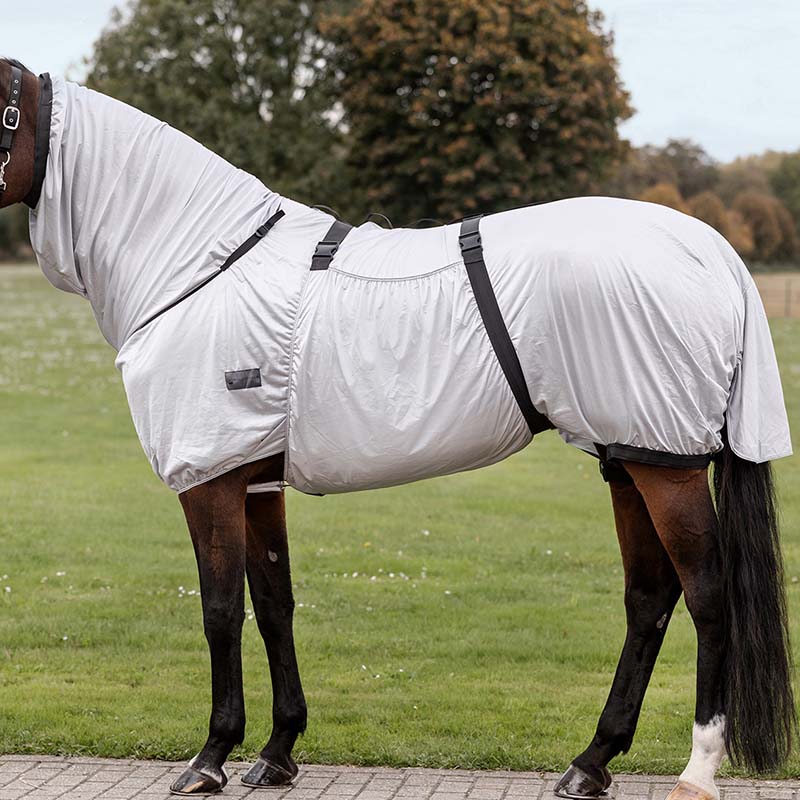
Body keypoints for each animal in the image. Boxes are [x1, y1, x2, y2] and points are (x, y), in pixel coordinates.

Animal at [0, 57, 795, 800]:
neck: (203, 264)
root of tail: (714, 251)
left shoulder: (211, 479)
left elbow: (221, 611)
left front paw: (209, 758)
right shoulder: (257, 481)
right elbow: (275, 604)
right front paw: (277, 752)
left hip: (666, 465)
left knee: (708, 597)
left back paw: (697, 768)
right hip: (629, 454)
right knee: (649, 598)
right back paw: (590, 761)